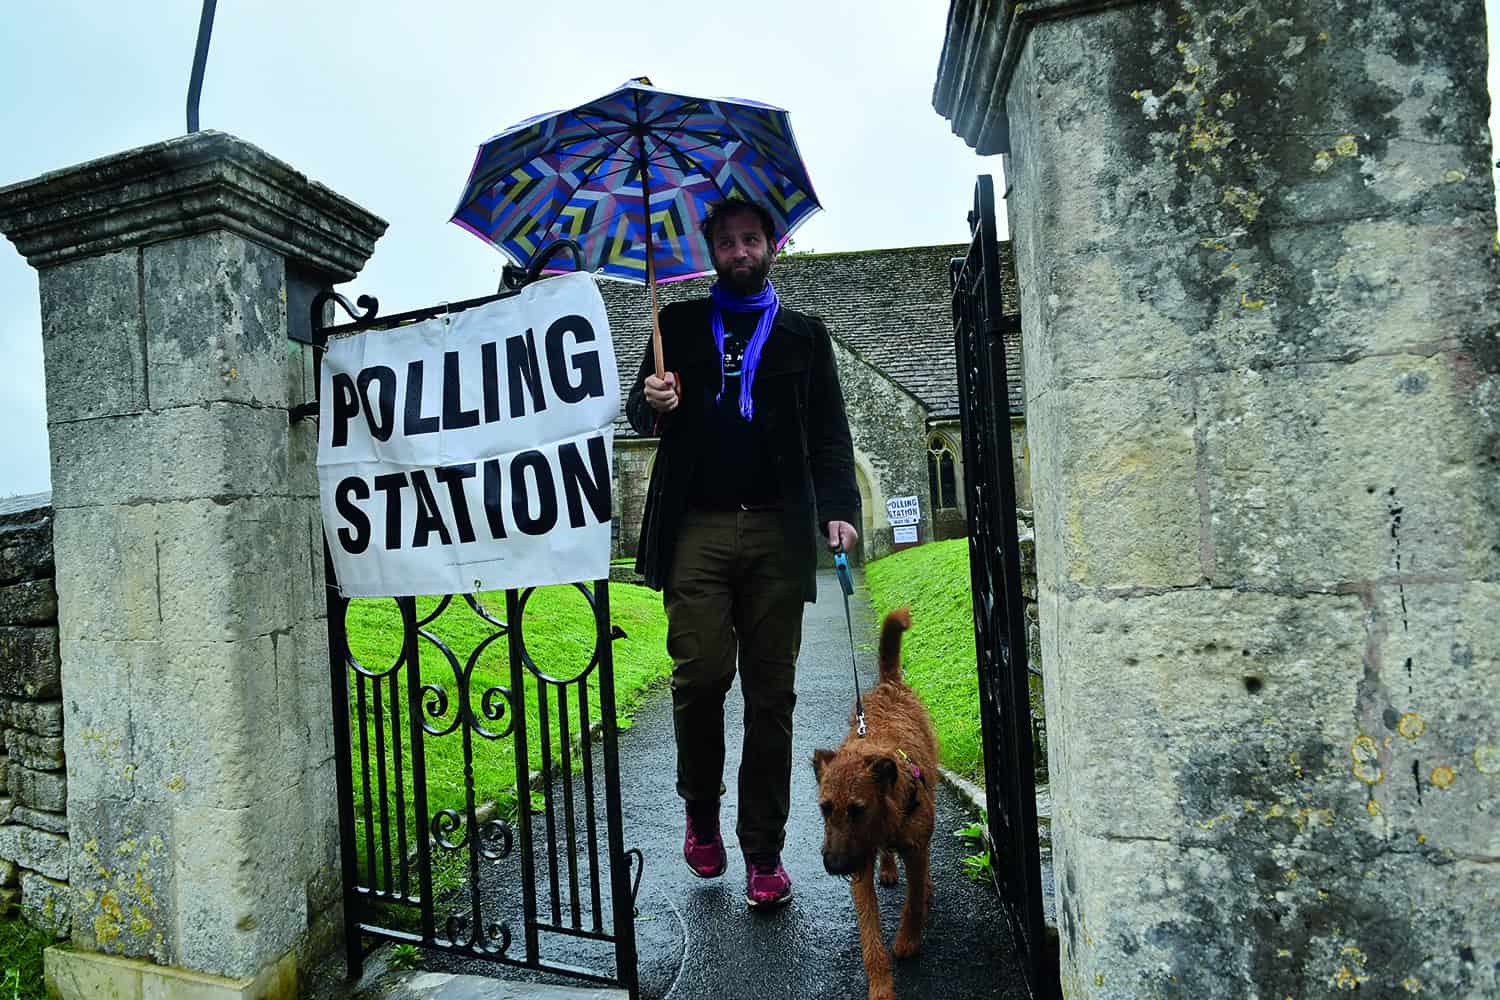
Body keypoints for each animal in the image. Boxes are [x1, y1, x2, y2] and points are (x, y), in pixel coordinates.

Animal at [816, 605, 930, 1000]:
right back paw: (888, 867)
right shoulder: (859, 865)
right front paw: (881, 986)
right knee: (886, 854)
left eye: (858, 809)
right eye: (824, 808)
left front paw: (908, 941)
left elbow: (914, 903)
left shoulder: (916, 848)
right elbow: (870, 935)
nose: (834, 866)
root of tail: (887, 685)